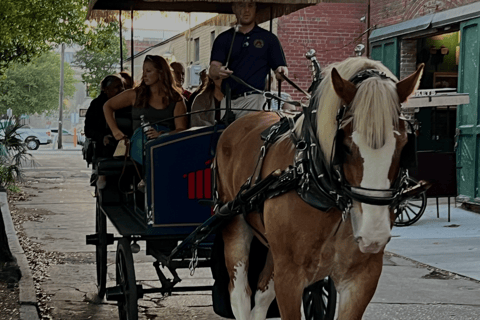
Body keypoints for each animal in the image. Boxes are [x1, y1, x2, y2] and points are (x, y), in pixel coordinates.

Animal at [216, 57, 426, 320]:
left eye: (404, 145)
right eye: (345, 146)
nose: (373, 233)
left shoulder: (361, 278)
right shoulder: (290, 277)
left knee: (262, 294)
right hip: (233, 223)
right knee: (240, 295)